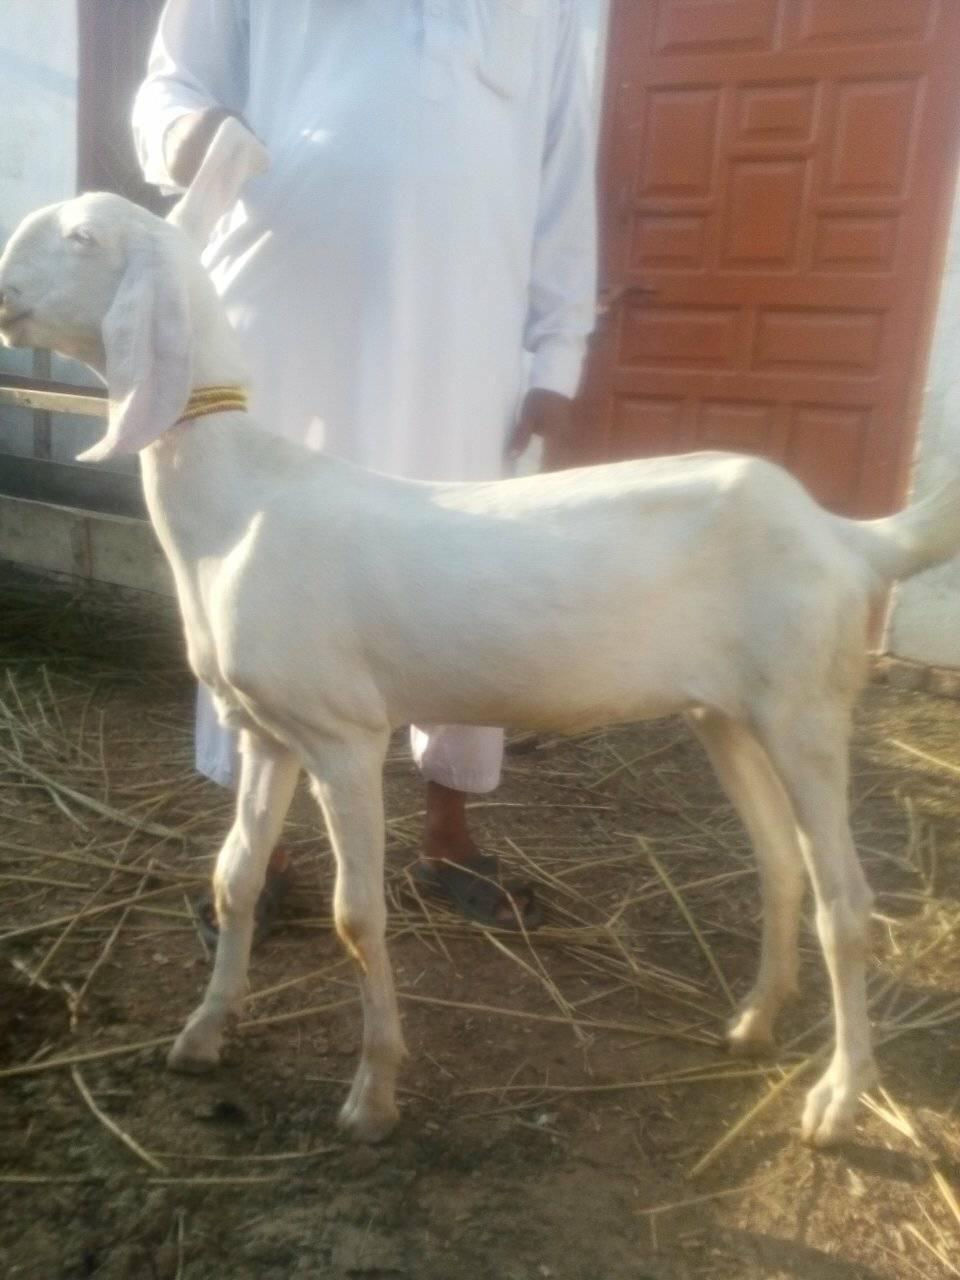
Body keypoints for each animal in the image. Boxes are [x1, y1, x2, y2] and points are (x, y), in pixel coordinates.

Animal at [2, 178, 959, 1150]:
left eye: (81, 238)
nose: (0, 294)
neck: (240, 497)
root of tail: (845, 535)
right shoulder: (265, 730)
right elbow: (234, 880)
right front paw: (202, 1035)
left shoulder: (341, 734)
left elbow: (357, 915)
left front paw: (373, 1097)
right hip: (727, 713)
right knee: (780, 862)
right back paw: (755, 1023)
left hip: (805, 706)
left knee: (847, 900)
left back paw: (839, 1098)